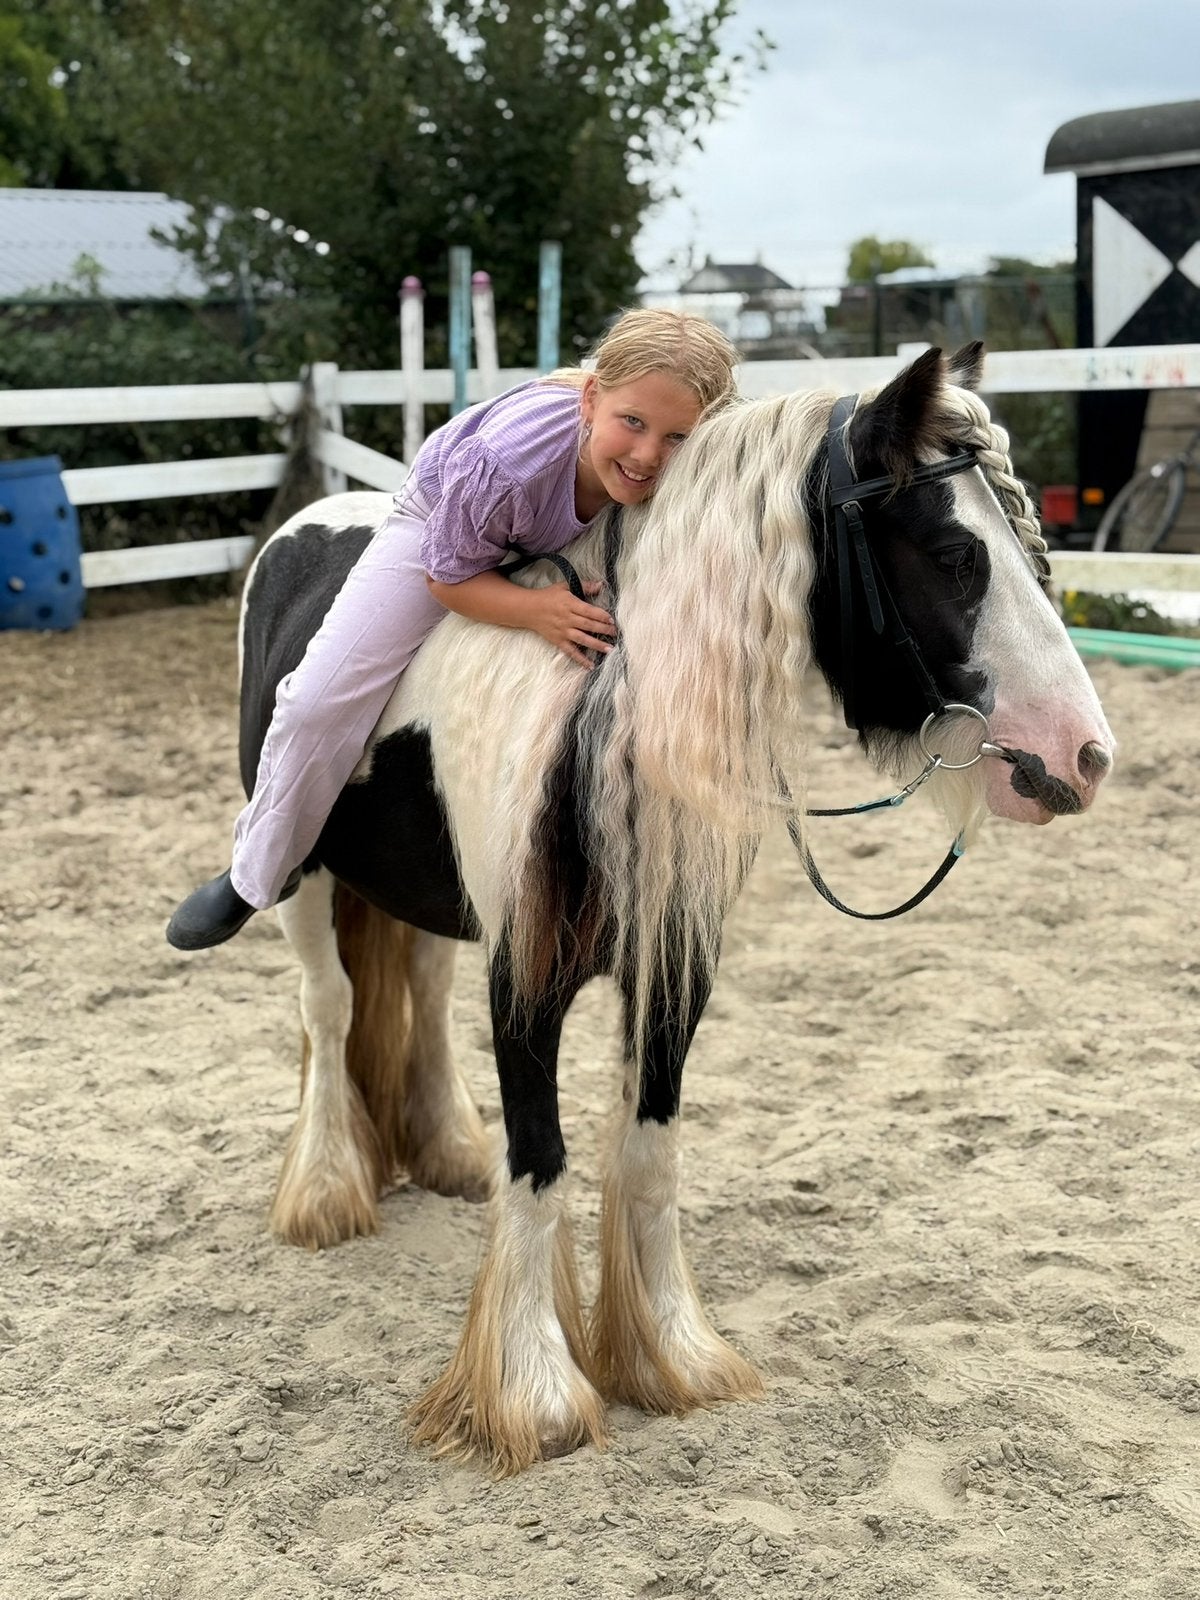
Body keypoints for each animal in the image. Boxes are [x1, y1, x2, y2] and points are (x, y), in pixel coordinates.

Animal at [233, 343, 1113, 1475]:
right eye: (957, 554)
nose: (1082, 757)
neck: (592, 716)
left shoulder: (673, 967)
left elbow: (647, 1150)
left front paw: (669, 1354)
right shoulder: (526, 976)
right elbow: (542, 1160)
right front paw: (534, 1394)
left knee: (415, 991)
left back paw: (443, 1151)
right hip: (300, 872)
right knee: (330, 1006)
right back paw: (327, 1190)